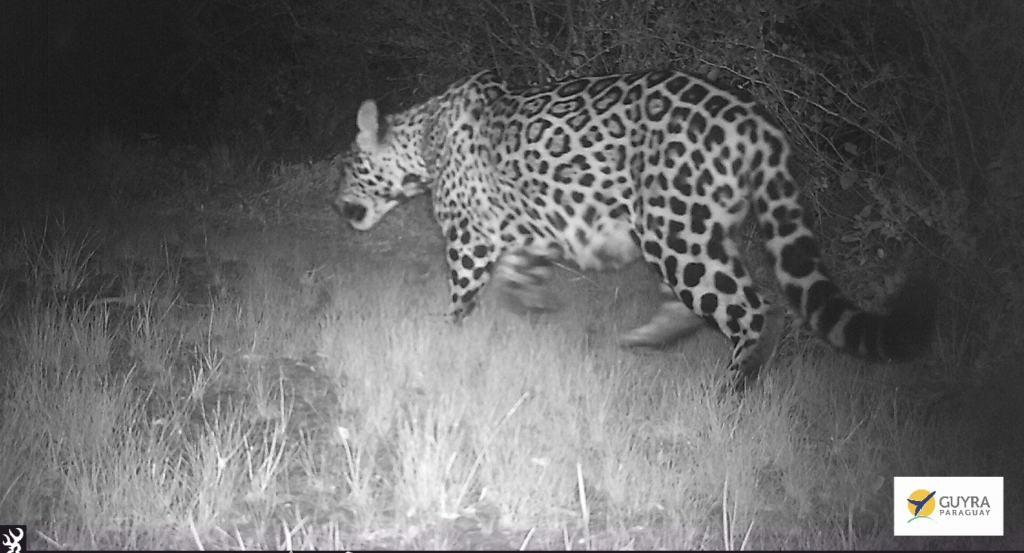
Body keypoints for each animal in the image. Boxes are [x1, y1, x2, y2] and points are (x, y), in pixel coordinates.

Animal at [334, 68, 935, 389]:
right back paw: (644, 339)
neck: (421, 140)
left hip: (677, 234)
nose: (336, 205)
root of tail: (760, 124)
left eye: (347, 166)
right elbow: (516, 278)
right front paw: (532, 311)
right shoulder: (526, 231)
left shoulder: (468, 237)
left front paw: (443, 335)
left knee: (757, 309)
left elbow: (462, 293)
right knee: (699, 304)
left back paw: (732, 387)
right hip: (685, 231)